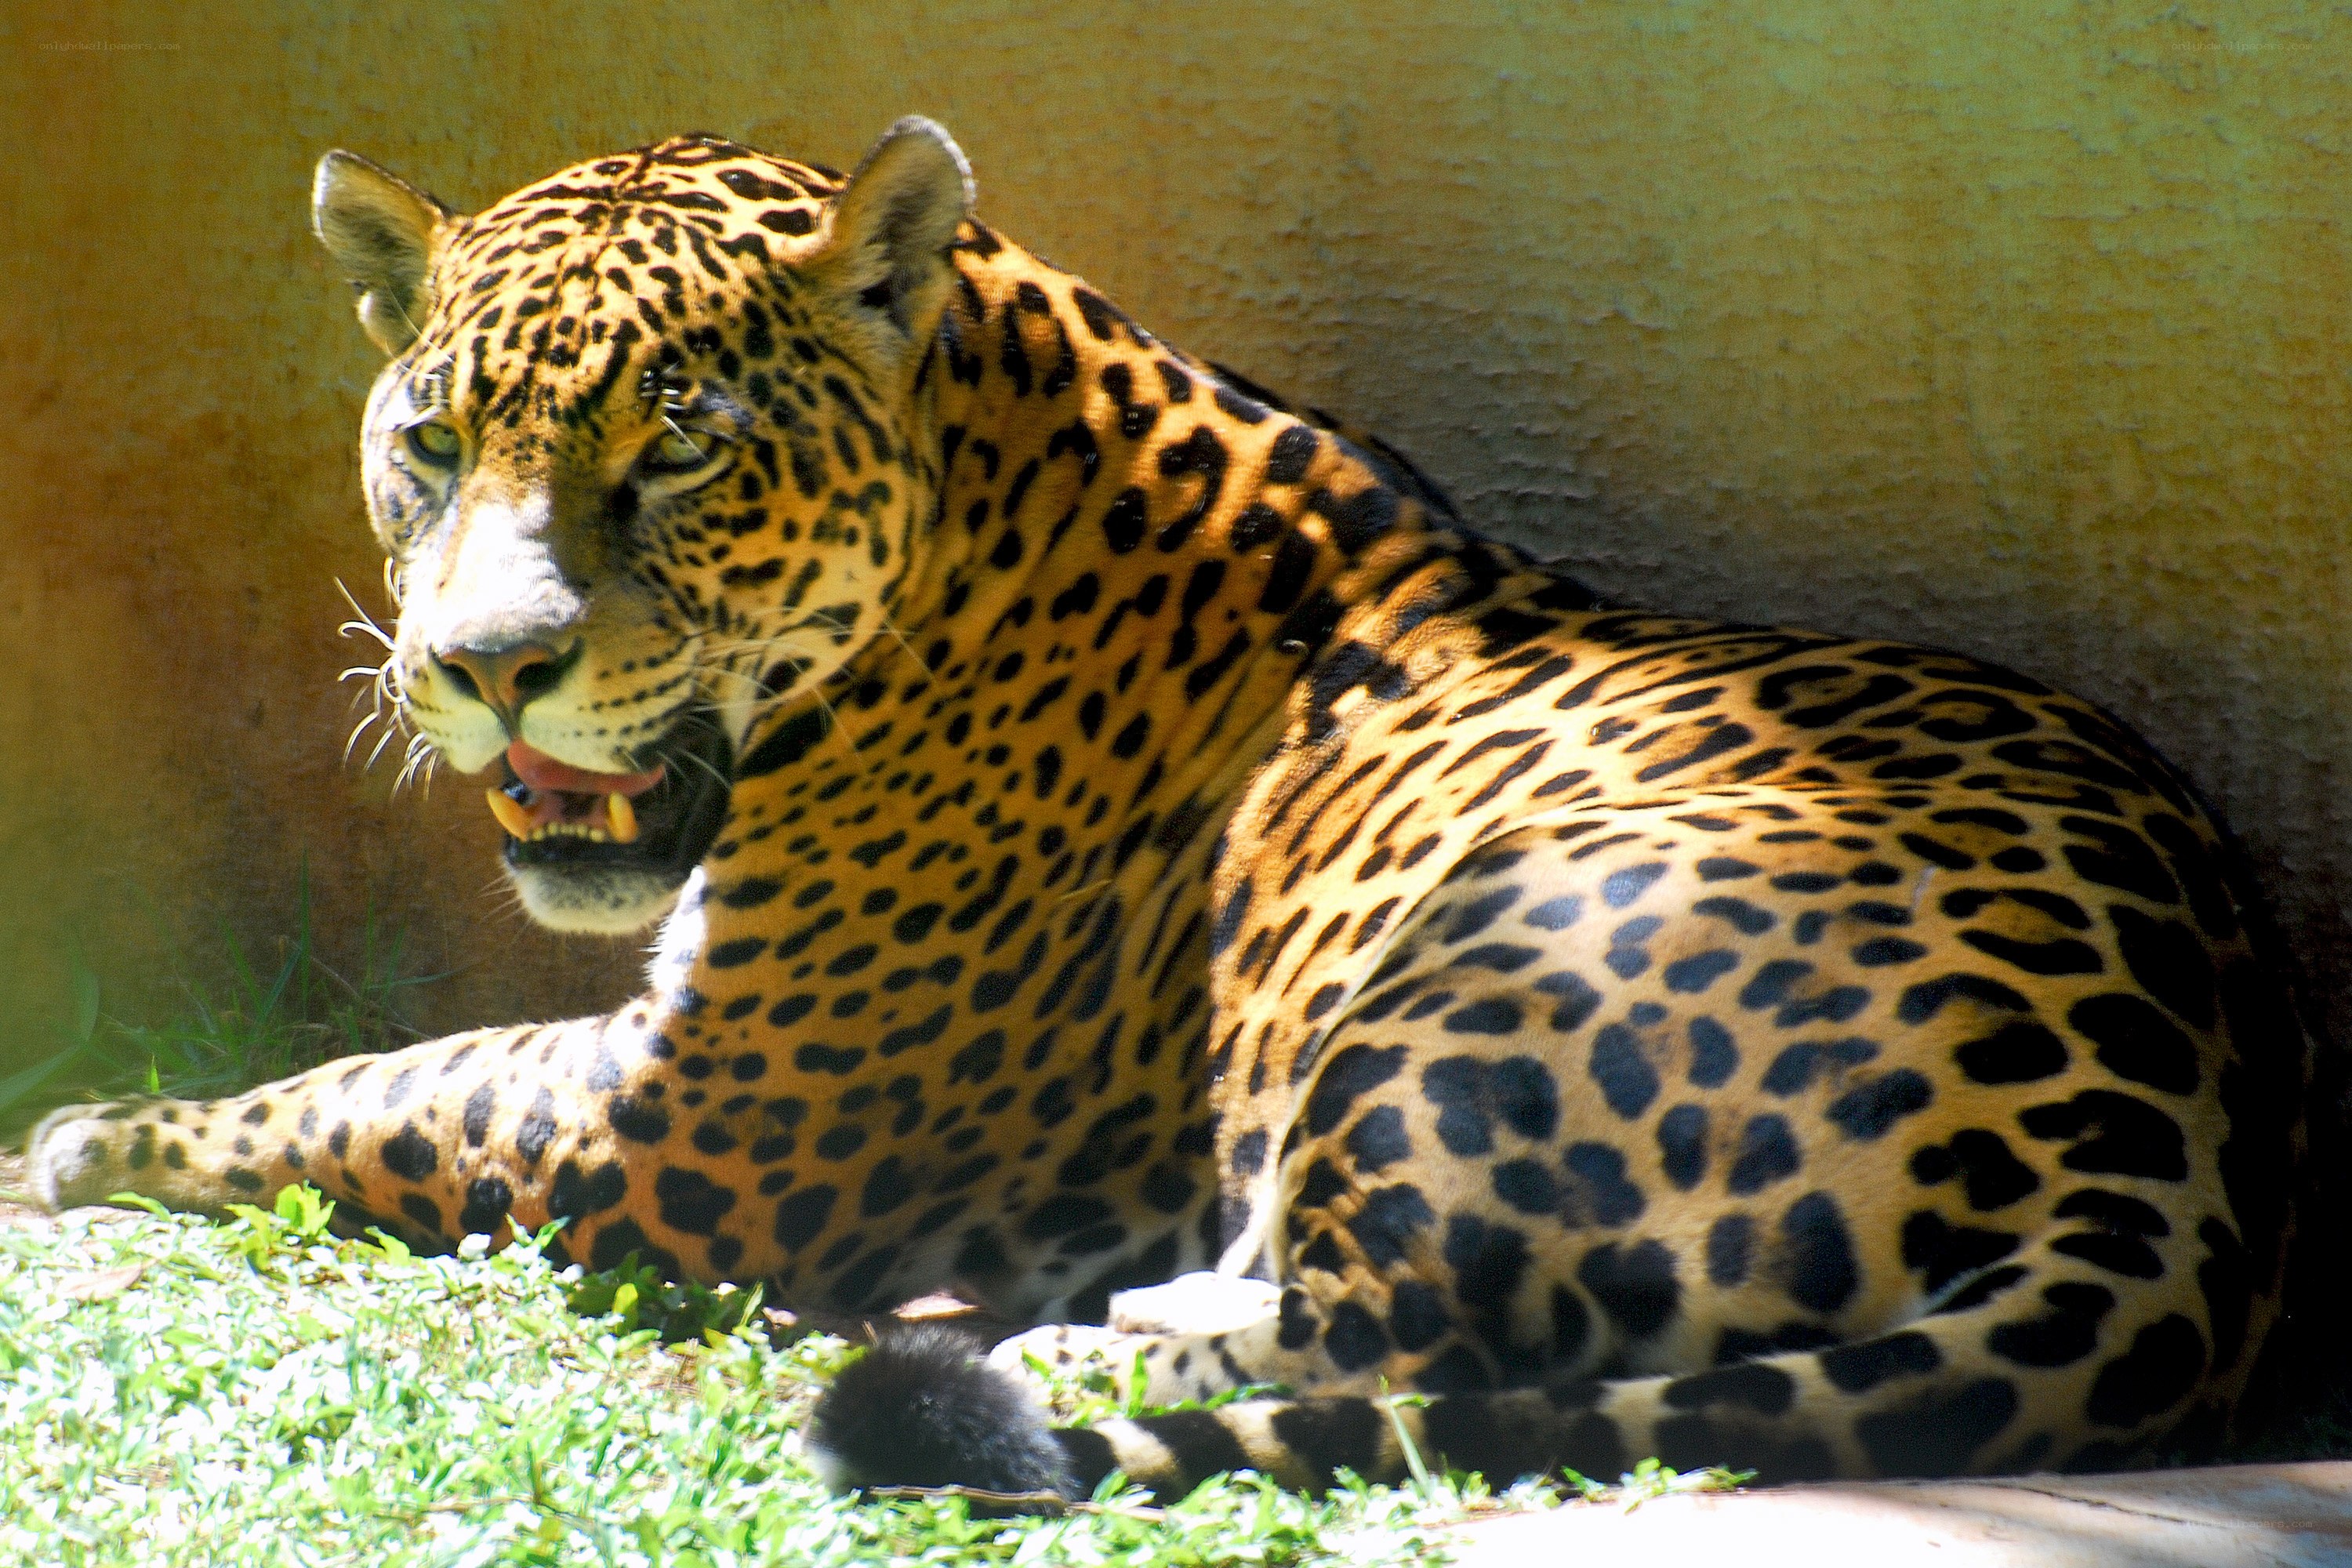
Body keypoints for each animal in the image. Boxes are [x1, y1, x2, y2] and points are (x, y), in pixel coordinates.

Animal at [26, 117, 2307, 1502]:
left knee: (1408, 1353)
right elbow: (395, 1072)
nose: (485, 662)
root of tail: (2171, 1152)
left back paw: (1055, 1346)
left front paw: (84, 1133)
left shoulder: (688, 1130)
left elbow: (374, 1086)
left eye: (675, 450)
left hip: (1479, 956)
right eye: (428, 442)